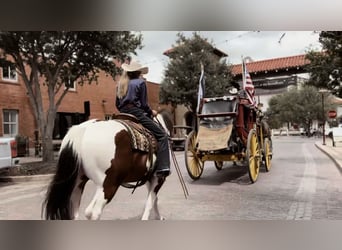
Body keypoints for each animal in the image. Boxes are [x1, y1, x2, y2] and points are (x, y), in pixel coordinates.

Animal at [42, 110, 172, 220]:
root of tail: (83, 129)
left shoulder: (149, 179)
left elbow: (154, 199)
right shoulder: (158, 178)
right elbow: (151, 201)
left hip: (80, 183)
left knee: (77, 213)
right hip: (109, 185)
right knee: (95, 213)